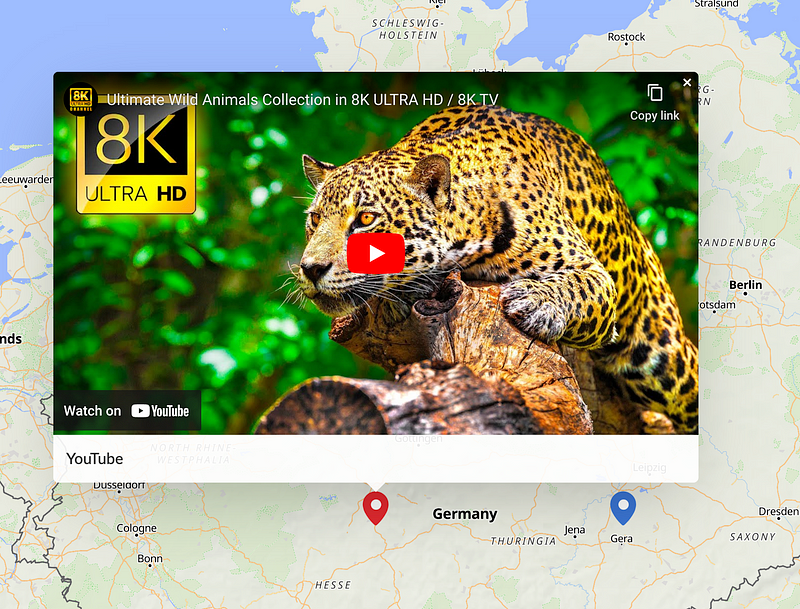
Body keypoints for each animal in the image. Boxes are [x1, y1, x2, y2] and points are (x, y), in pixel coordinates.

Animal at [295, 105, 699, 433]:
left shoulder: (595, 275)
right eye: (314, 219)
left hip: (663, 357)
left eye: (365, 219)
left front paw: (536, 302)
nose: (310, 268)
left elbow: (576, 286)